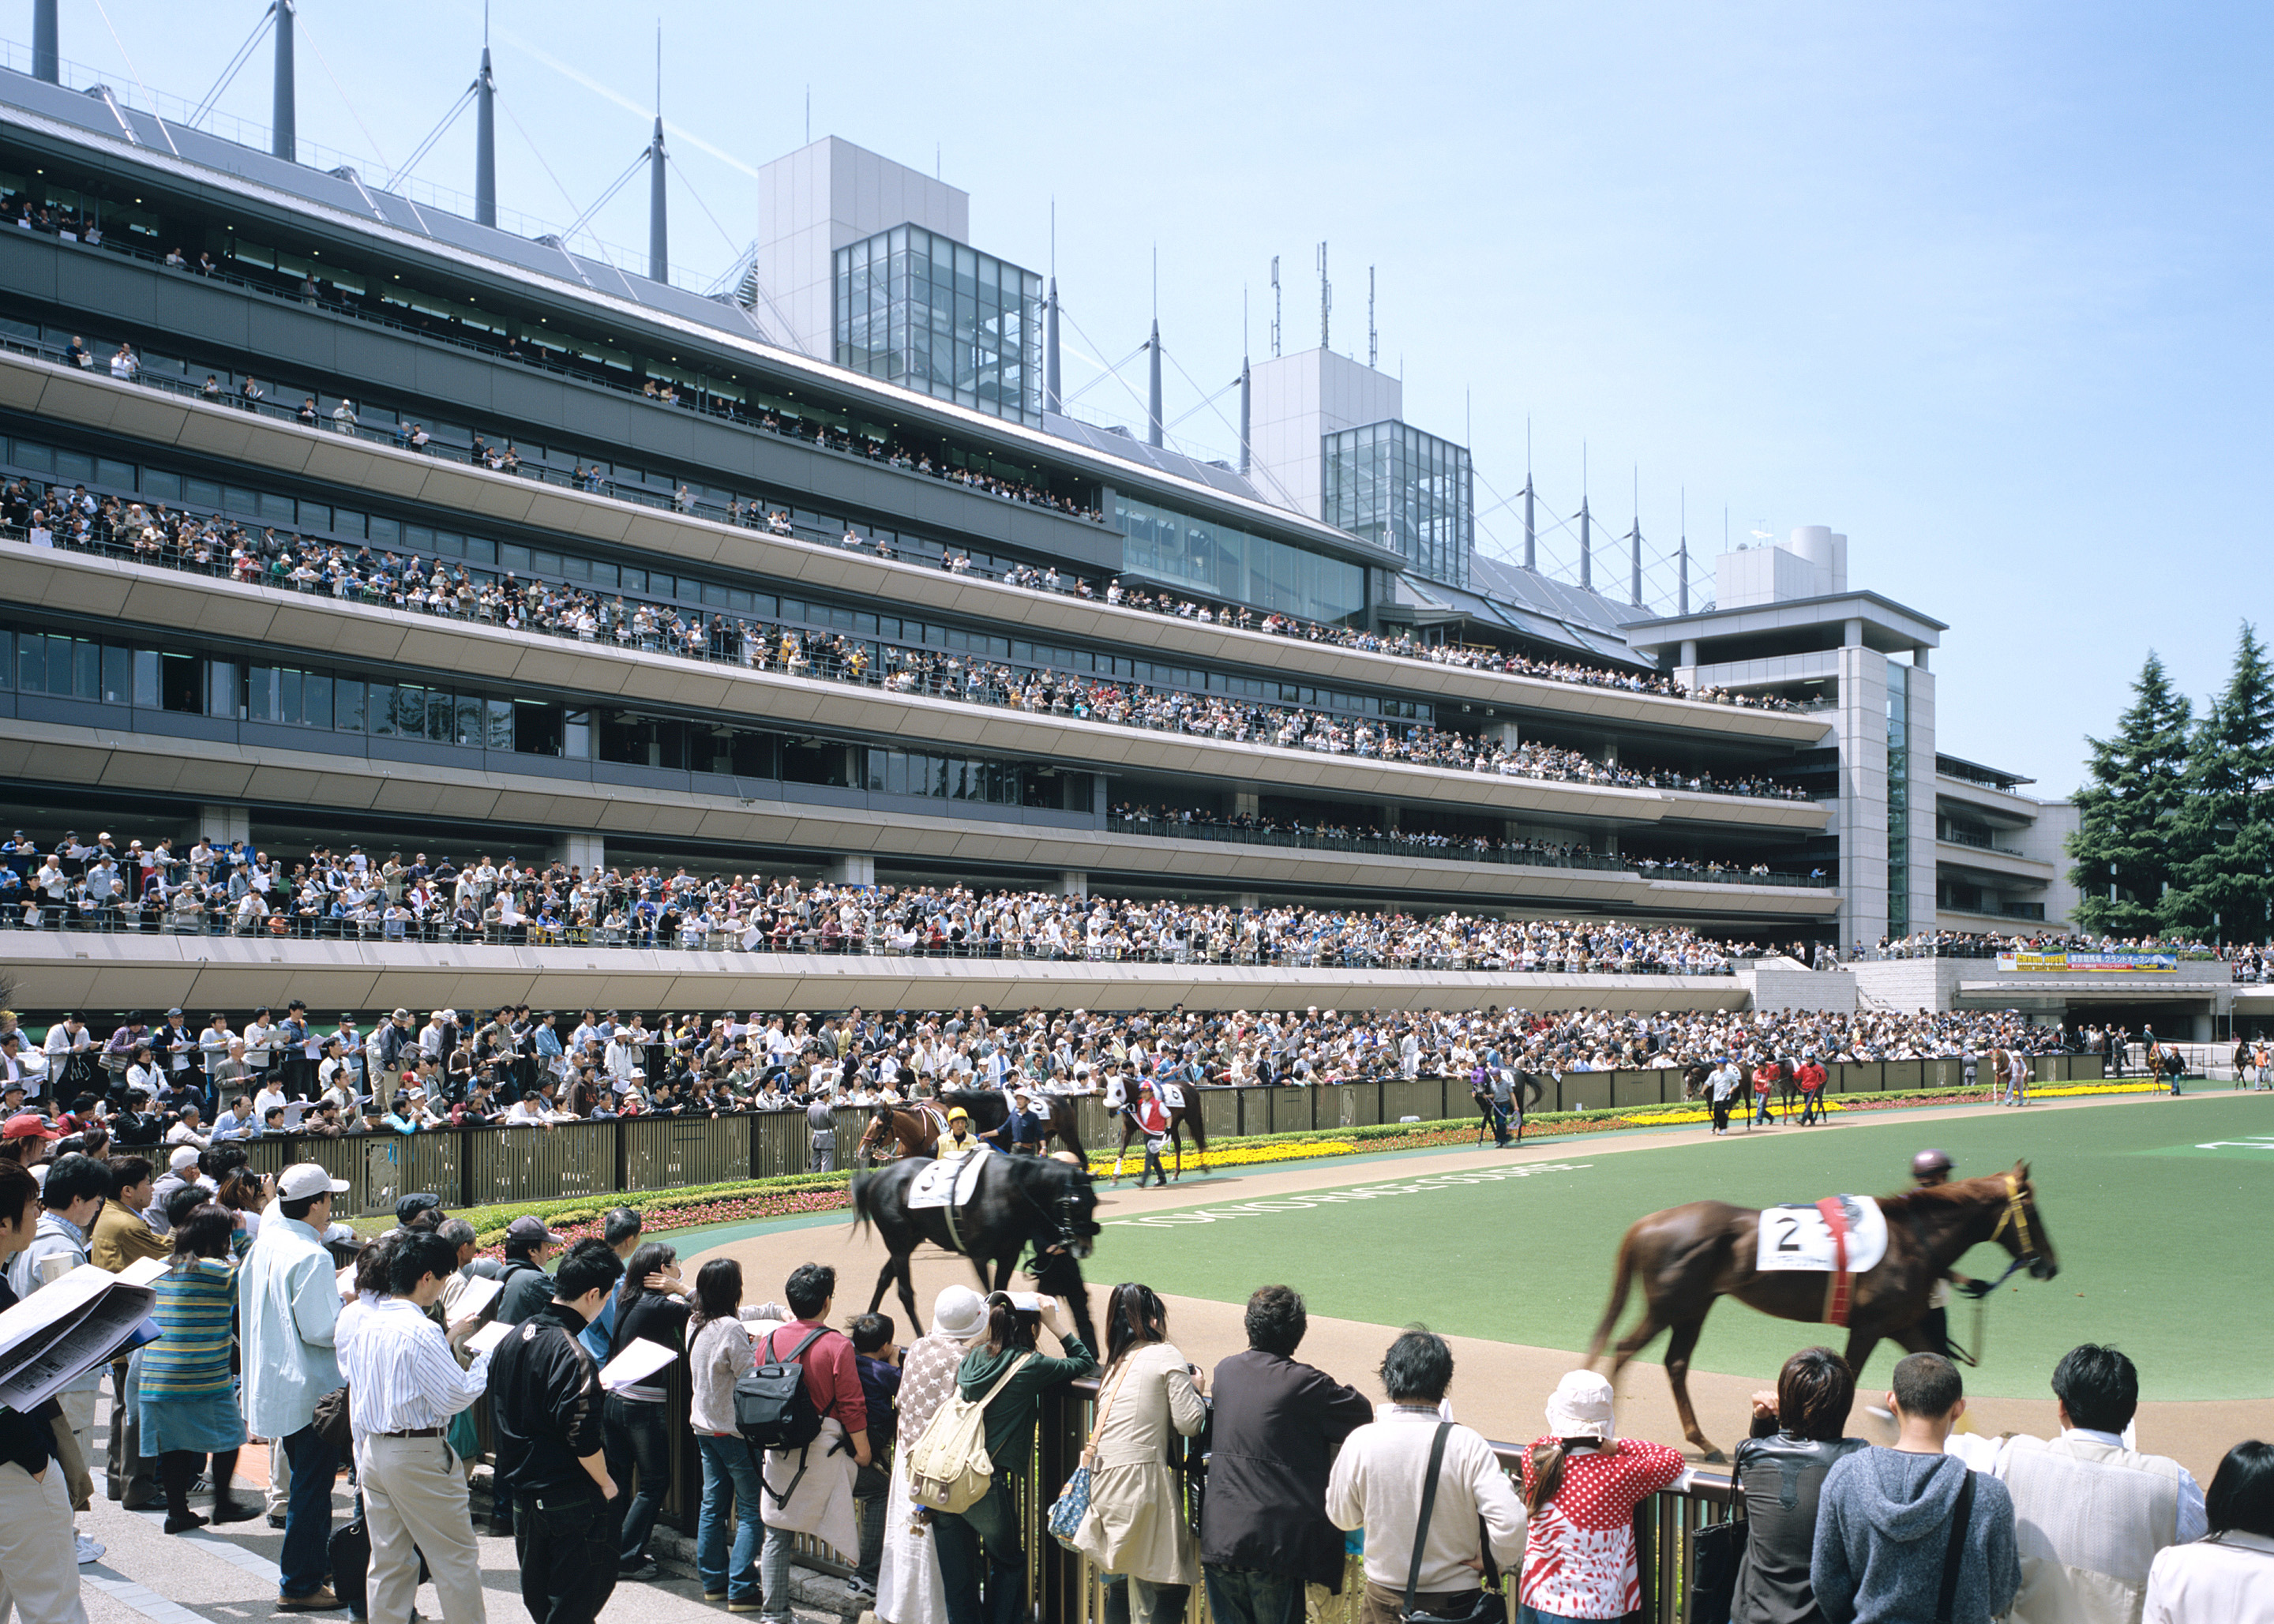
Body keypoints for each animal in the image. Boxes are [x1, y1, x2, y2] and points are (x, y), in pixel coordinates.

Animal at [854, 1150, 1100, 1337]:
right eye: (1075, 1204)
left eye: (1094, 1202)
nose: (1085, 1248)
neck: (1006, 1190)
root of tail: (878, 1177)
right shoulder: (979, 1257)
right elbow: (991, 1298)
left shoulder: (1009, 1256)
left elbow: (1003, 1296)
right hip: (898, 1242)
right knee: (905, 1292)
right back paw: (917, 1334)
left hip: (909, 1240)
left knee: (884, 1278)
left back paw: (865, 1322)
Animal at [1582, 1165, 2065, 1455]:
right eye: (2033, 1209)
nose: (2050, 1265)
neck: (1912, 1241)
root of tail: (1648, 1223)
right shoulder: (1870, 1327)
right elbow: (1848, 1374)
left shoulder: (1903, 1325)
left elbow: (1937, 1368)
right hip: (1671, 1306)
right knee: (1625, 1349)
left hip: (1694, 1308)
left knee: (1676, 1363)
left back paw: (1703, 1442)